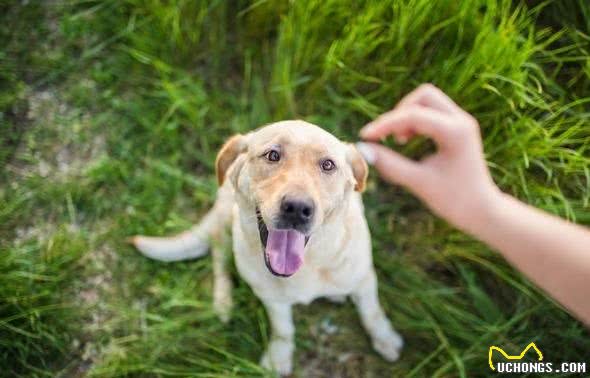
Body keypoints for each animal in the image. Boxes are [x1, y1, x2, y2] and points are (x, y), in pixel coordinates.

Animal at [132, 119, 404, 374]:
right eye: (273, 155)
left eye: (328, 165)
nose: (297, 208)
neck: (306, 266)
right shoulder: (271, 297)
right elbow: (283, 329)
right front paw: (279, 356)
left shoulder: (364, 279)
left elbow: (372, 312)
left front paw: (385, 337)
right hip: (227, 220)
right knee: (219, 253)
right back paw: (223, 301)